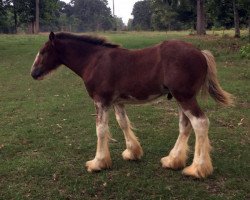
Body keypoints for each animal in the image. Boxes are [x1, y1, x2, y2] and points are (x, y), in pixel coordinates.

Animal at [30, 32, 233, 179]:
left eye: (43, 51)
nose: (33, 73)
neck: (94, 61)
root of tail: (201, 53)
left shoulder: (101, 101)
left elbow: (101, 130)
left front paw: (97, 163)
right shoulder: (117, 102)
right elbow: (123, 123)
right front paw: (132, 152)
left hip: (185, 97)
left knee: (200, 123)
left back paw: (197, 169)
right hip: (181, 98)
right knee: (185, 125)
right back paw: (173, 160)